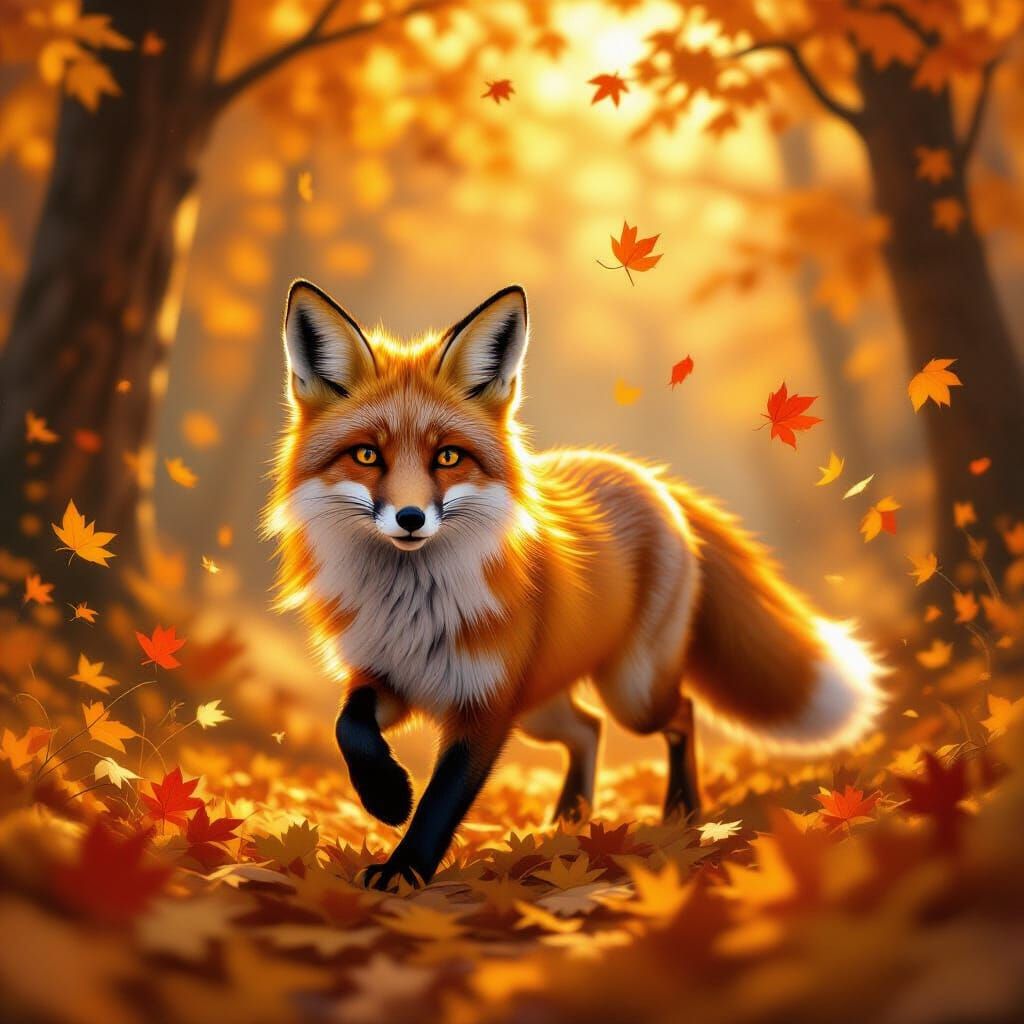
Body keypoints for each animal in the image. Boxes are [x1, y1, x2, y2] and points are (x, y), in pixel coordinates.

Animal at [267, 280, 884, 891]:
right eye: (367, 454)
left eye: (448, 457)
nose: (411, 518)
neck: (413, 607)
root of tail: (648, 477)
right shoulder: (389, 675)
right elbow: (348, 727)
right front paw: (387, 796)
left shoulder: (485, 705)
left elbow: (443, 801)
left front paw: (403, 871)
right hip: (543, 706)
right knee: (588, 728)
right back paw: (571, 817)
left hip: (630, 692)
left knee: (677, 712)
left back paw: (682, 811)